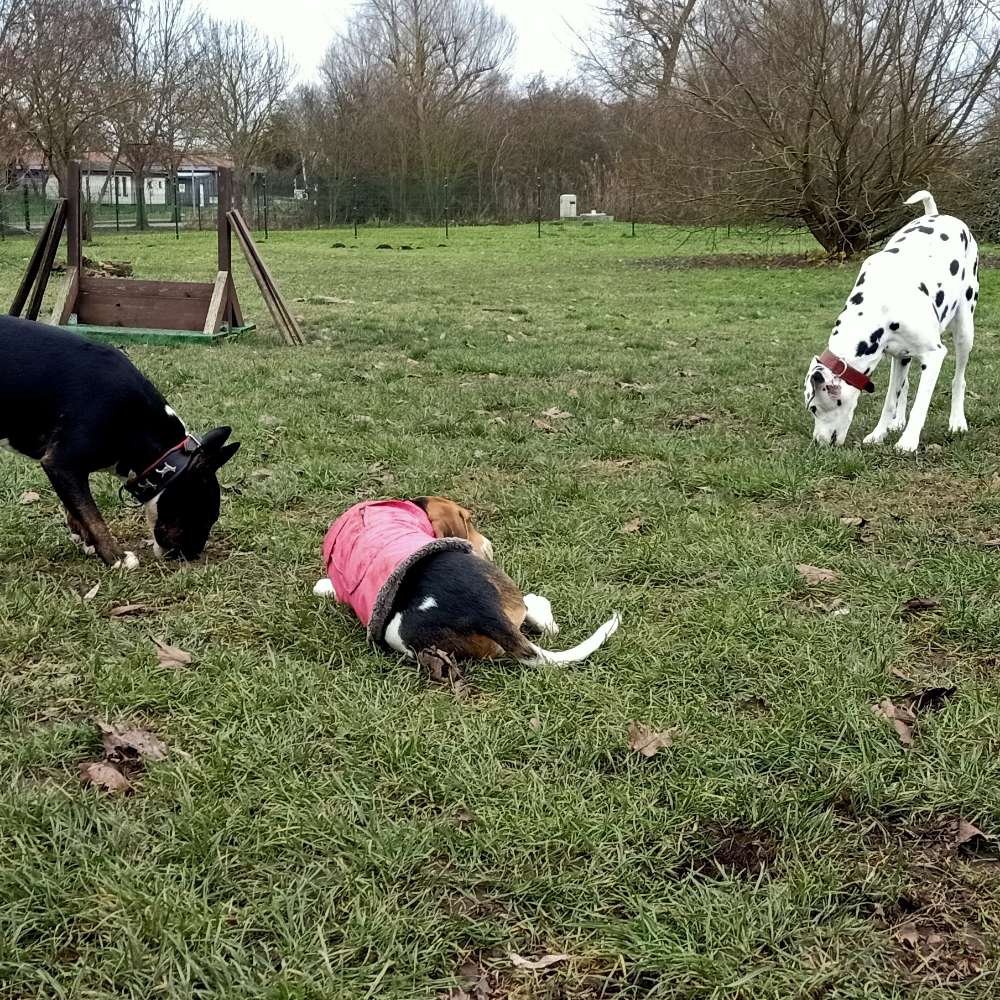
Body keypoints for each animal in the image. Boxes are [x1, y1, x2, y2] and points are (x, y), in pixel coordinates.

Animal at [0, 316, 240, 568]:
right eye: (204, 516)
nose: (192, 556)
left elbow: (75, 507)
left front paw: (87, 541)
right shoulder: (62, 463)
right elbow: (92, 514)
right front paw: (116, 558)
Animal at [800, 188, 980, 454]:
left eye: (813, 408)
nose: (818, 442)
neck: (880, 300)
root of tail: (937, 214)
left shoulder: (934, 354)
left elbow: (921, 404)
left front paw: (908, 441)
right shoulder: (896, 353)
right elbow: (890, 400)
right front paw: (879, 434)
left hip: (965, 330)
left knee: (959, 378)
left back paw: (957, 421)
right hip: (903, 357)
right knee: (904, 386)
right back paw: (898, 422)